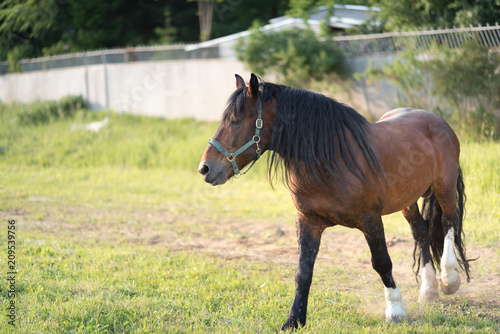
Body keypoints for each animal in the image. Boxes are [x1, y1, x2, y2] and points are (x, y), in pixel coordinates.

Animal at [197, 73, 470, 328]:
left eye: (235, 122)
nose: (205, 168)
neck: (329, 159)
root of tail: (437, 120)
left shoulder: (371, 219)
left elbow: (382, 262)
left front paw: (395, 310)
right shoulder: (308, 221)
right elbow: (303, 271)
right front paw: (294, 320)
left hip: (444, 188)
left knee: (449, 222)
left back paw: (449, 279)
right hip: (408, 201)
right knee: (421, 232)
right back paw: (428, 290)